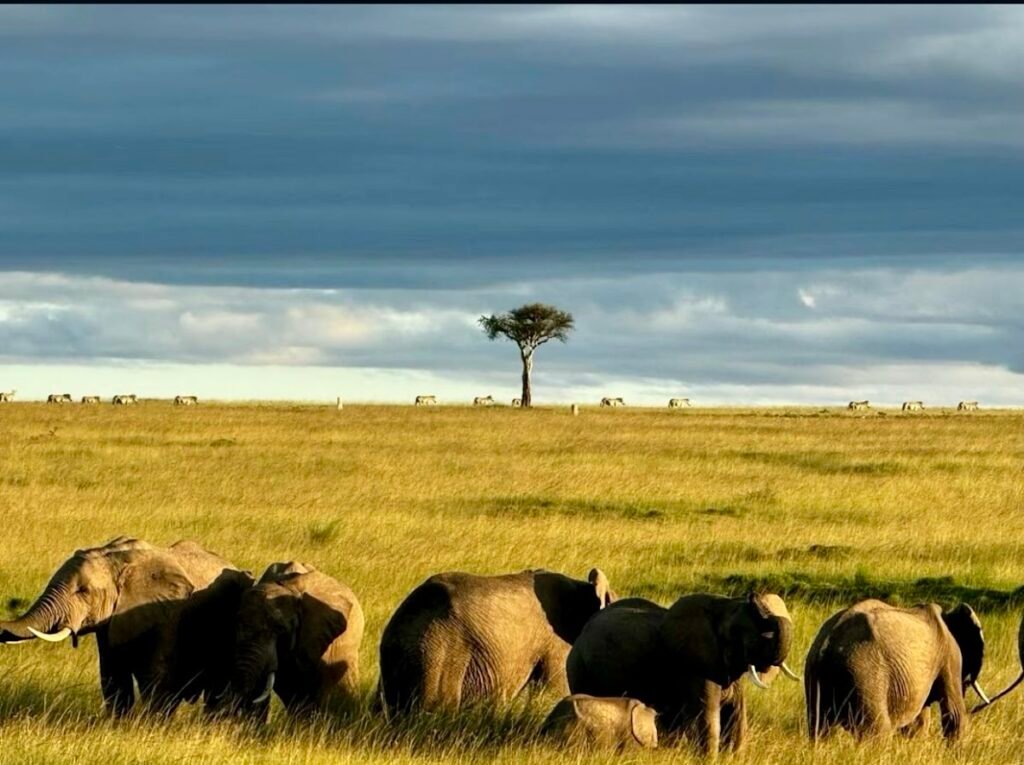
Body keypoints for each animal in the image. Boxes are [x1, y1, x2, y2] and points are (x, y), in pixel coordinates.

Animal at [0, 536, 250, 716]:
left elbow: (155, 680)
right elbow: (113, 678)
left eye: (83, 591)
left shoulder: (168, 615)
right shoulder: (110, 624)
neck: (115, 560)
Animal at [566, 592, 799, 754]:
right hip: (579, 667)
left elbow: (736, 715)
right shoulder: (693, 665)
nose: (752, 595)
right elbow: (709, 717)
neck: (723, 605)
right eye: (736, 632)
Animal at [804, 599, 988, 742]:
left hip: (817, 677)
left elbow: (917, 723)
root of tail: (826, 645)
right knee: (877, 732)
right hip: (865, 675)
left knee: (820, 729)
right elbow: (954, 714)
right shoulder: (950, 656)